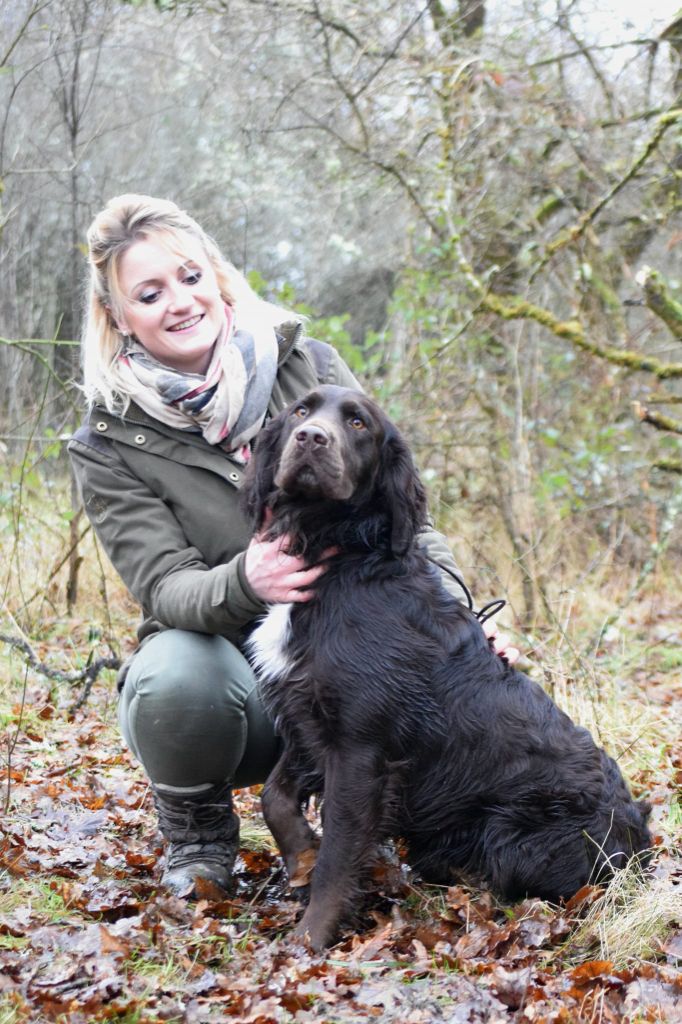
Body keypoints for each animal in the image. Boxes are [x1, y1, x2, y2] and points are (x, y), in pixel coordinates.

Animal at [241, 385, 651, 950]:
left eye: (358, 423)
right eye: (302, 410)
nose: (310, 438)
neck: (338, 556)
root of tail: (640, 845)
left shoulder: (360, 749)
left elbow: (337, 854)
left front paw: (310, 939)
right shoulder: (307, 718)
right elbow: (273, 797)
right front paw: (300, 850)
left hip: (514, 834)